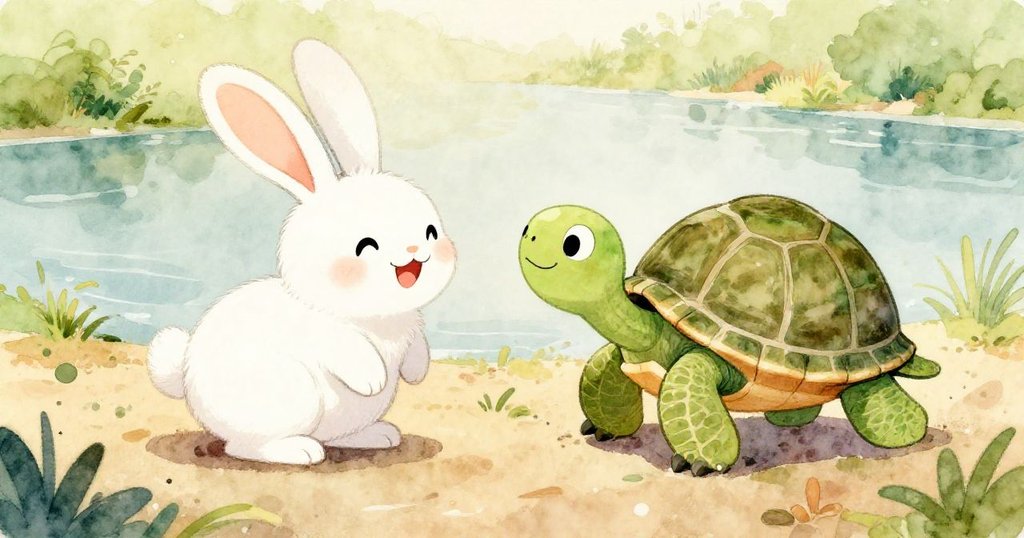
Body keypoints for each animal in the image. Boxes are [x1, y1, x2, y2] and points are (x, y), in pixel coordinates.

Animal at [147, 39, 457, 465]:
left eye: (431, 232)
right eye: (365, 246)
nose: (414, 255)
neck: (375, 317)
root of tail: (186, 375)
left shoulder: (411, 330)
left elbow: (418, 347)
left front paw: (416, 372)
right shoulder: (327, 334)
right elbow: (349, 351)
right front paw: (373, 378)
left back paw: (378, 436)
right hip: (289, 399)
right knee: (244, 446)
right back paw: (300, 450)